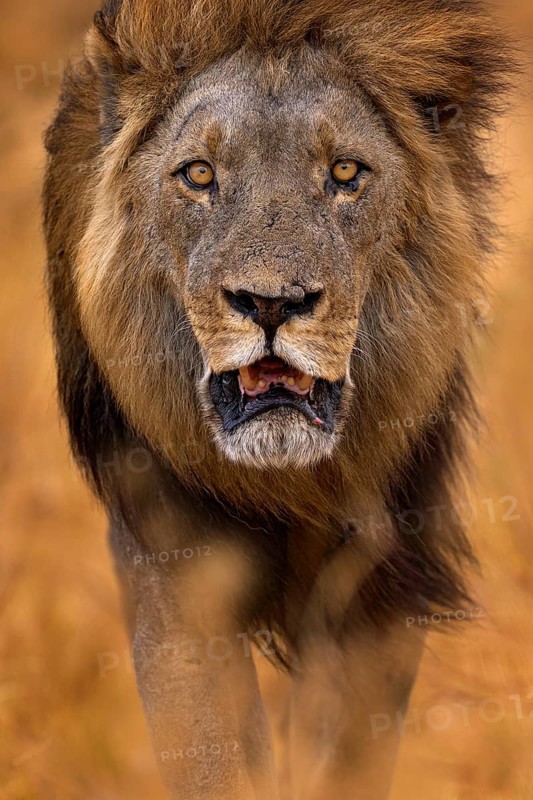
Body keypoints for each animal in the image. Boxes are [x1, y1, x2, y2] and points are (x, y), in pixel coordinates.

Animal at [43, 1, 512, 797]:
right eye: (199, 174)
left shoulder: (380, 591)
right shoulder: (172, 566)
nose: (270, 304)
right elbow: (213, 754)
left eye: (346, 172)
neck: (293, 482)